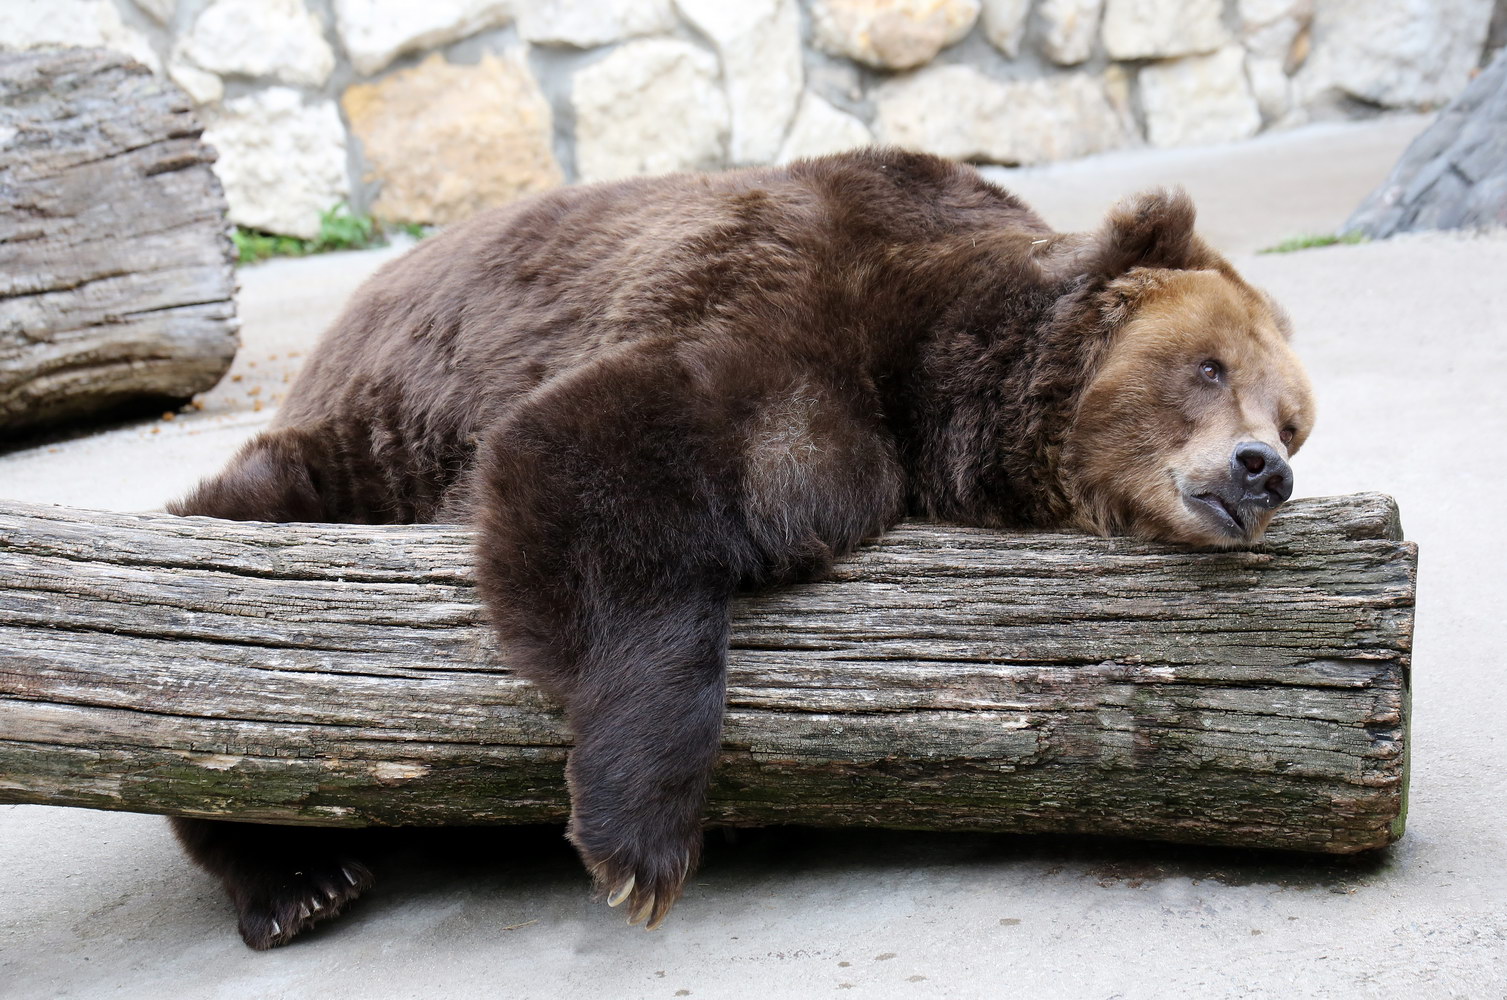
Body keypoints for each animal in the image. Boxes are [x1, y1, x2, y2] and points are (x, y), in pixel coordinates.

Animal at [168, 148, 1320, 945]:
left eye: (1293, 417)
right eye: (1207, 367)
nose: (1261, 470)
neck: (941, 380)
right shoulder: (796, 307)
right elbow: (597, 455)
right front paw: (639, 848)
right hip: (371, 437)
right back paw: (298, 879)